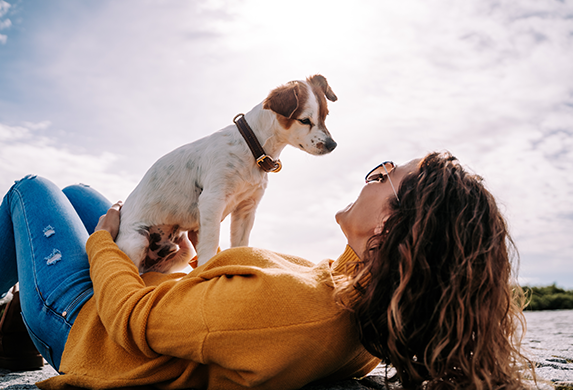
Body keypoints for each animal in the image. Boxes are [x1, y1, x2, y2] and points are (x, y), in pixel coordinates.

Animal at [115, 74, 338, 272]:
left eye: (325, 116)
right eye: (304, 120)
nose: (332, 145)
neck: (251, 147)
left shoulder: (246, 208)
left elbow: (240, 245)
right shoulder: (212, 201)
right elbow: (211, 244)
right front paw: (205, 269)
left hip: (180, 254)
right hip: (136, 240)